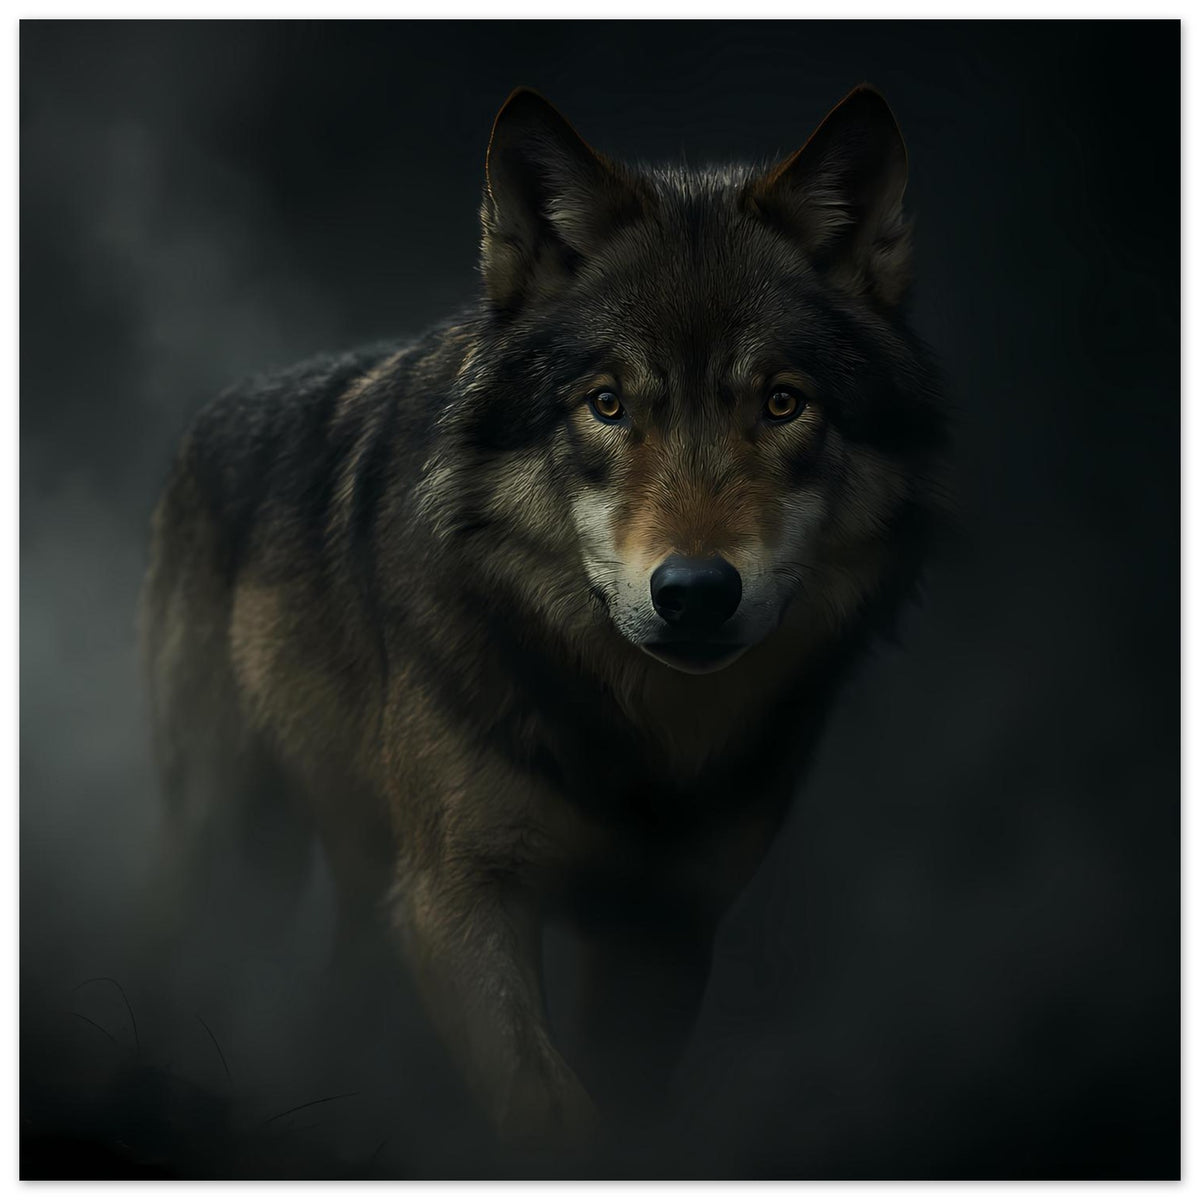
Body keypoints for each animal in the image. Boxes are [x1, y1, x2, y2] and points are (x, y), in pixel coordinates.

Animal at [140, 84, 948, 1150]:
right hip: (229, 839)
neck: (634, 735)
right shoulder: (456, 897)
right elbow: (547, 1106)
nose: (696, 591)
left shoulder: (665, 931)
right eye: (606, 404)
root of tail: (210, 414)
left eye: (782, 404)